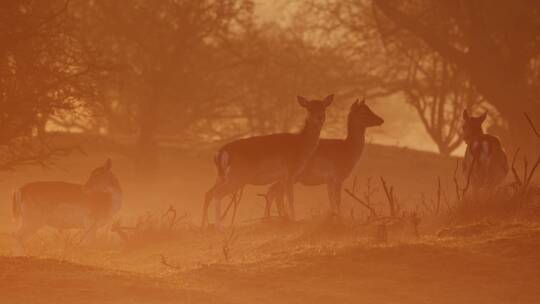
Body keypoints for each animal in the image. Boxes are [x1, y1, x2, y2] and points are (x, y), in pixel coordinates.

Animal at [202, 94, 334, 227]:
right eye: (309, 108)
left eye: (324, 107)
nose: (319, 117)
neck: (300, 146)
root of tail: (221, 152)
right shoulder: (289, 171)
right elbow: (290, 198)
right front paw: (293, 220)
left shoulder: (283, 176)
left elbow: (280, 197)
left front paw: (283, 218)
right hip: (238, 175)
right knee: (217, 193)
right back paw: (219, 227)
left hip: (222, 176)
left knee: (208, 193)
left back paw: (205, 225)